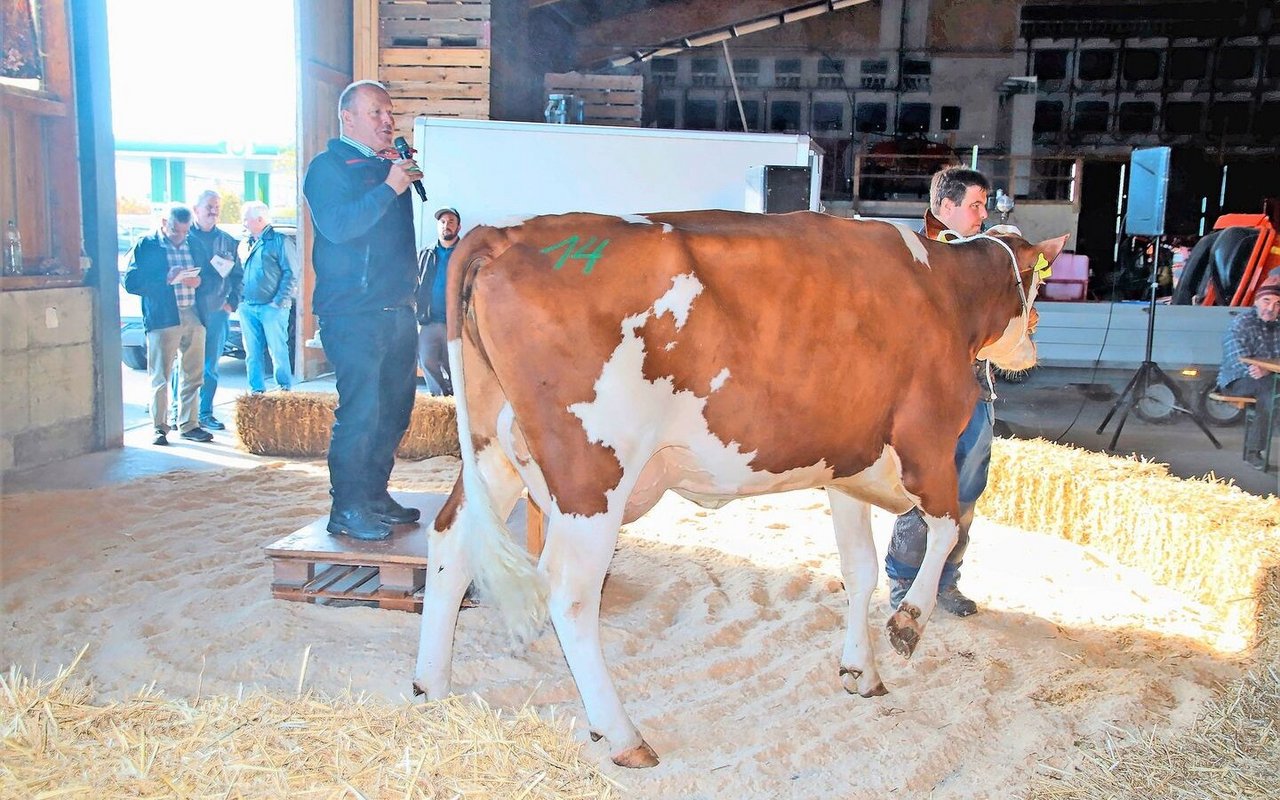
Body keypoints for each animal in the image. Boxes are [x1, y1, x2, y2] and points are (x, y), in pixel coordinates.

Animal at [414, 208, 1064, 762]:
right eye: (1037, 282)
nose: (1035, 339)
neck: (945, 289)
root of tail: (509, 232)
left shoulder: (847, 466)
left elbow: (860, 570)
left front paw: (862, 670)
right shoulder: (927, 444)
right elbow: (948, 528)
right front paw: (908, 626)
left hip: (494, 451)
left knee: (451, 544)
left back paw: (432, 686)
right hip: (591, 472)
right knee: (569, 589)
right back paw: (622, 735)